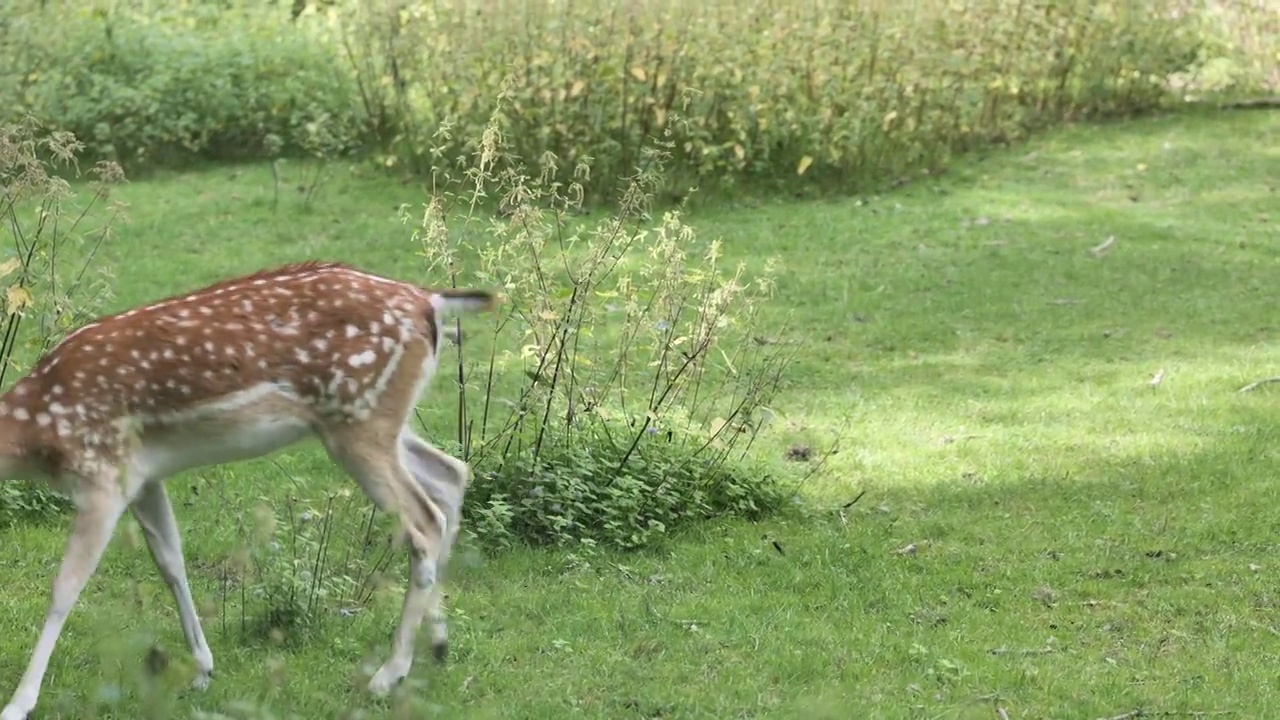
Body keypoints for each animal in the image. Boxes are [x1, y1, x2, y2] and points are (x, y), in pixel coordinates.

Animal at [0, 258, 496, 717]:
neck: (34, 432)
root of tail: (430, 301)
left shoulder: (101, 474)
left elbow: (65, 587)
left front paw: (19, 703)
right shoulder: (143, 478)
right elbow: (171, 562)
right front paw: (203, 669)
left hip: (359, 422)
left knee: (425, 521)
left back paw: (386, 676)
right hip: (376, 424)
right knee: (451, 474)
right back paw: (438, 644)